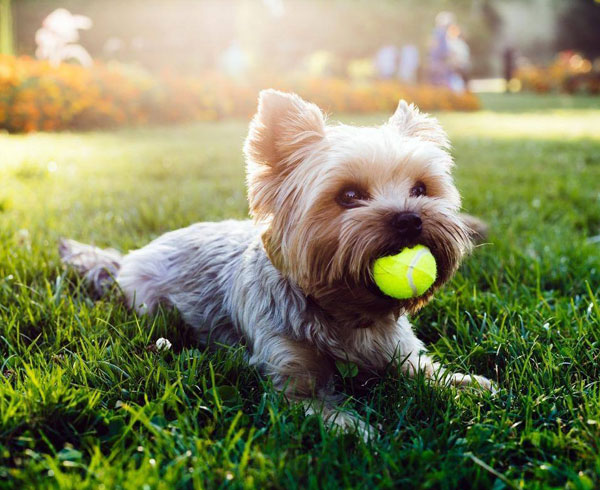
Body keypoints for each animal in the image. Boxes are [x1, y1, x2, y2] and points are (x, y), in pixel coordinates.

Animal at [61, 90, 492, 438]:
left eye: (421, 189)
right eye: (349, 195)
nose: (410, 219)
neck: (348, 311)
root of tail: (128, 258)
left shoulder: (402, 351)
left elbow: (425, 370)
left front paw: (465, 383)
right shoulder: (289, 378)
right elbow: (317, 407)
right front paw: (358, 430)